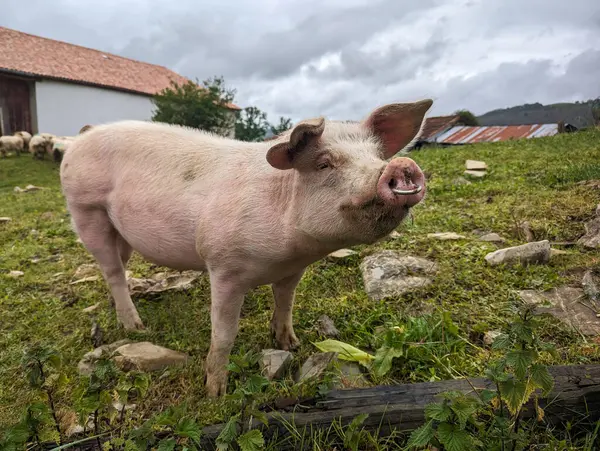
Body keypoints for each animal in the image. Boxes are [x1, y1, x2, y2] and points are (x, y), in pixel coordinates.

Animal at [61, 98, 434, 396]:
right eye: (324, 163)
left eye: (376, 156)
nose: (401, 165)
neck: (292, 249)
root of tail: (83, 136)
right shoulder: (223, 266)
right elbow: (225, 333)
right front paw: (216, 393)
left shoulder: (293, 269)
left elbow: (286, 303)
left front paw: (290, 344)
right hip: (86, 210)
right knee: (111, 269)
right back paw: (135, 327)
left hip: (119, 230)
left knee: (119, 267)